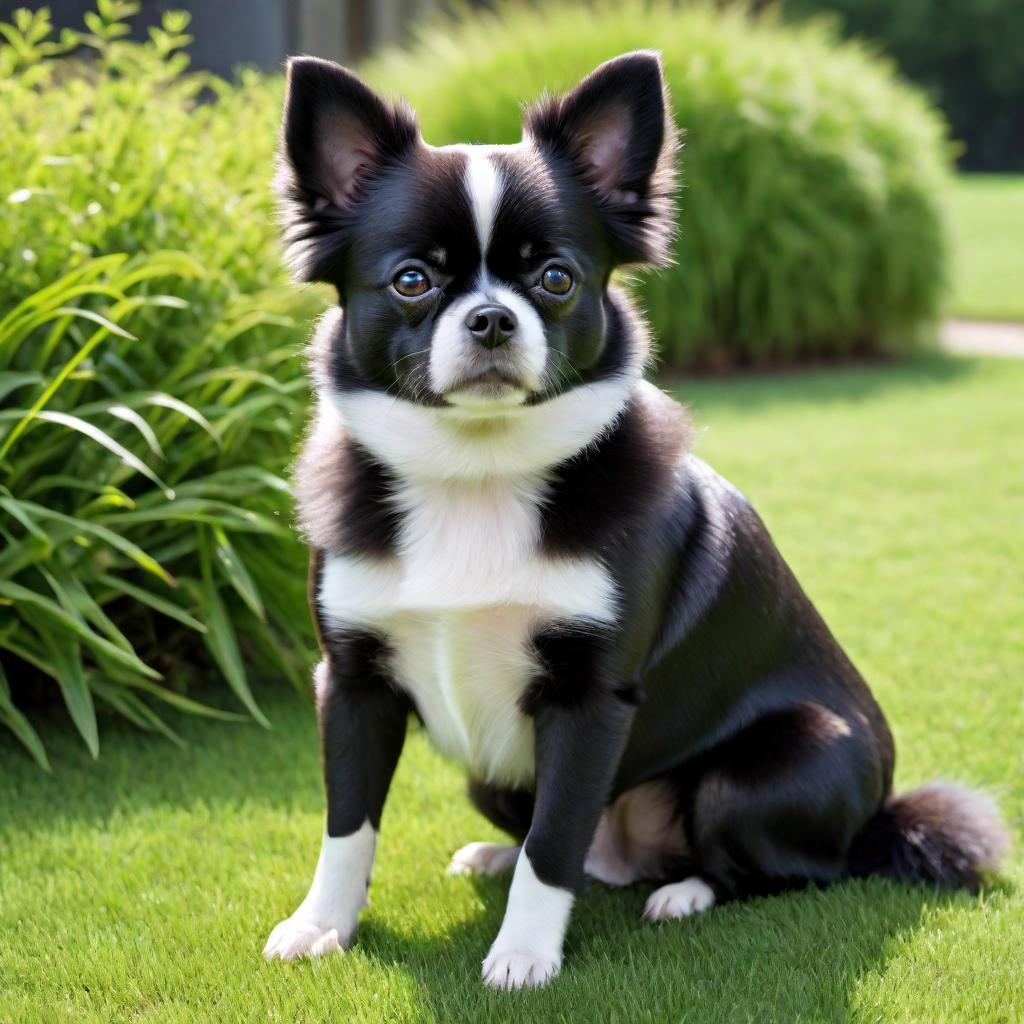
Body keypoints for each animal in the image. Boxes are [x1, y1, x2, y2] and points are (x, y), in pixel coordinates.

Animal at [260, 51, 1003, 987]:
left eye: (556, 279)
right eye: (412, 280)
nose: (493, 317)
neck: (476, 472)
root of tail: (881, 816)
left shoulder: (589, 702)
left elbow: (554, 847)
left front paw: (524, 955)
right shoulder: (353, 683)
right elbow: (348, 823)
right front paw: (321, 925)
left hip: (767, 771)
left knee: (775, 870)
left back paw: (683, 892)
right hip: (490, 775)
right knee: (574, 846)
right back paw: (505, 858)